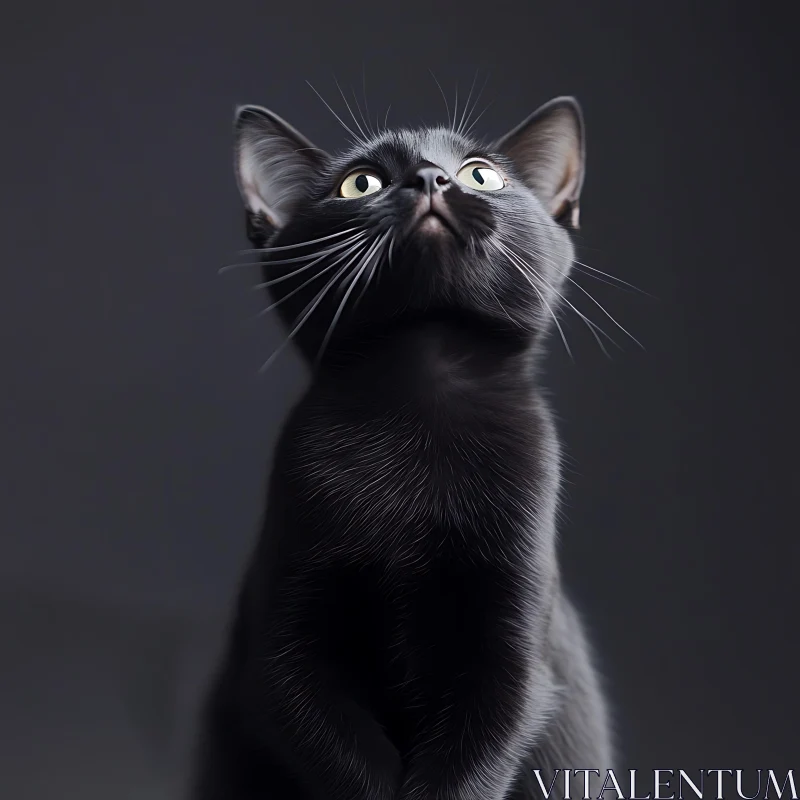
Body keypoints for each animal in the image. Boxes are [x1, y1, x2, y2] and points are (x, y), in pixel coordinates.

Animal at [192, 95, 612, 800]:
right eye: (359, 183)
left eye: (481, 174)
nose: (430, 179)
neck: (419, 393)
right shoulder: (284, 647)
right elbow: (336, 747)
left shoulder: (513, 653)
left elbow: (476, 755)